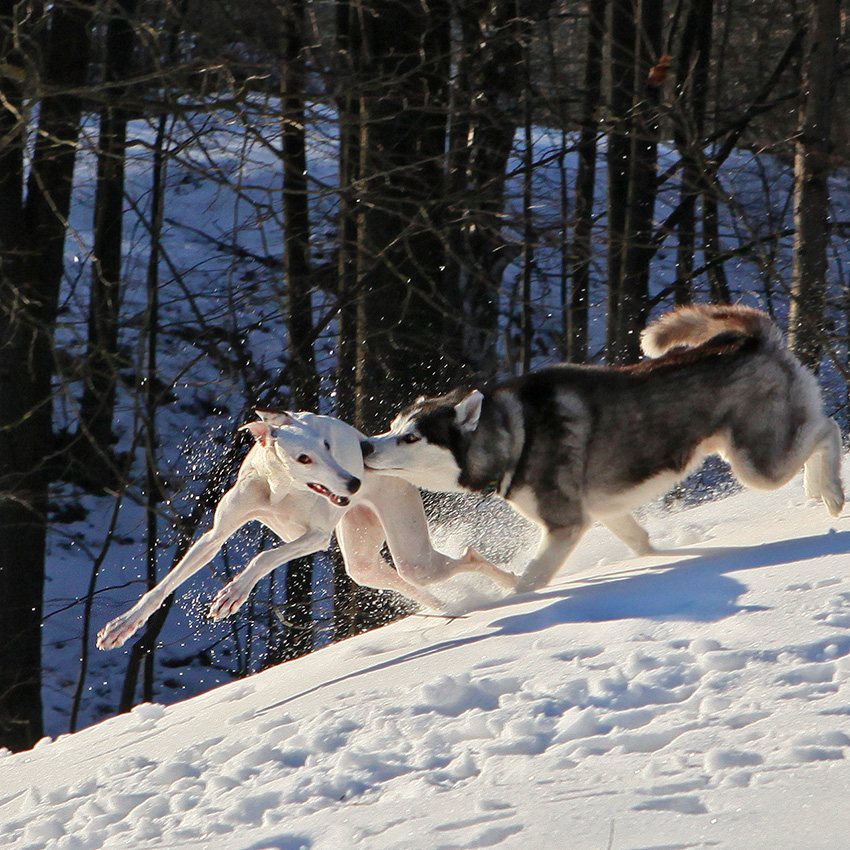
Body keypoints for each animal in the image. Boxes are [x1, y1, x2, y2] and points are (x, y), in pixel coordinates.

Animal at [96, 408, 512, 644]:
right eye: (303, 458)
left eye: (329, 445)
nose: (354, 482)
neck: (279, 489)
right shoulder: (216, 535)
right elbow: (165, 585)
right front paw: (121, 626)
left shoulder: (314, 537)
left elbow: (264, 557)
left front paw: (233, 594)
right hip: (365, 561)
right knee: (398, 578)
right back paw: (449, 608)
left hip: (410, 544)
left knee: (464, 558)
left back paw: (509, 583)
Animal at [362, 308, 840, 592]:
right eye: (392, 426)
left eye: (411, 437)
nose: (365, 445)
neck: (515, 436)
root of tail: (749, 339)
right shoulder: (605, 509)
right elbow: (643, 544)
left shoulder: (565, 524)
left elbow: (527, 581)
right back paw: (814, 489)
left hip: (755, 465)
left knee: (827, 427)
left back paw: (831, 490)